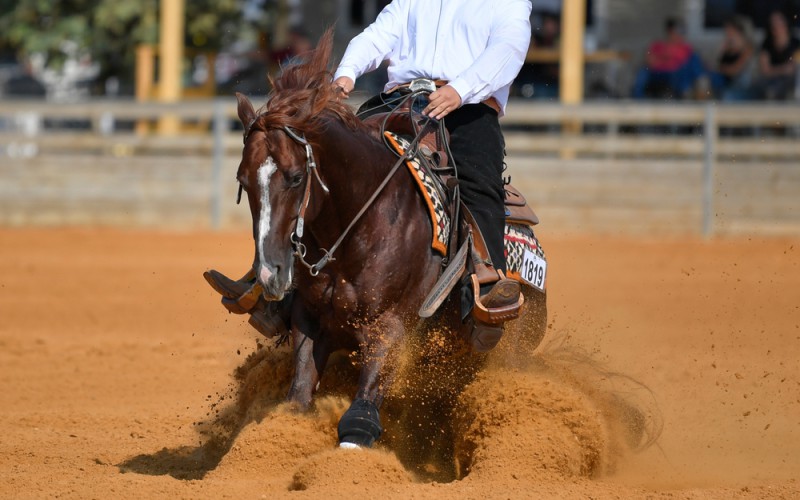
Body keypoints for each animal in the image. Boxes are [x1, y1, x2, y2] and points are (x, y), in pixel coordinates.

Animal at [231, 32, 544, 450]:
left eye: (296, 177)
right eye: (243, 180)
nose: (270, 274)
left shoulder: (389, 328)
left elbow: (360, 418)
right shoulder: (309, 319)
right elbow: (298, 396)